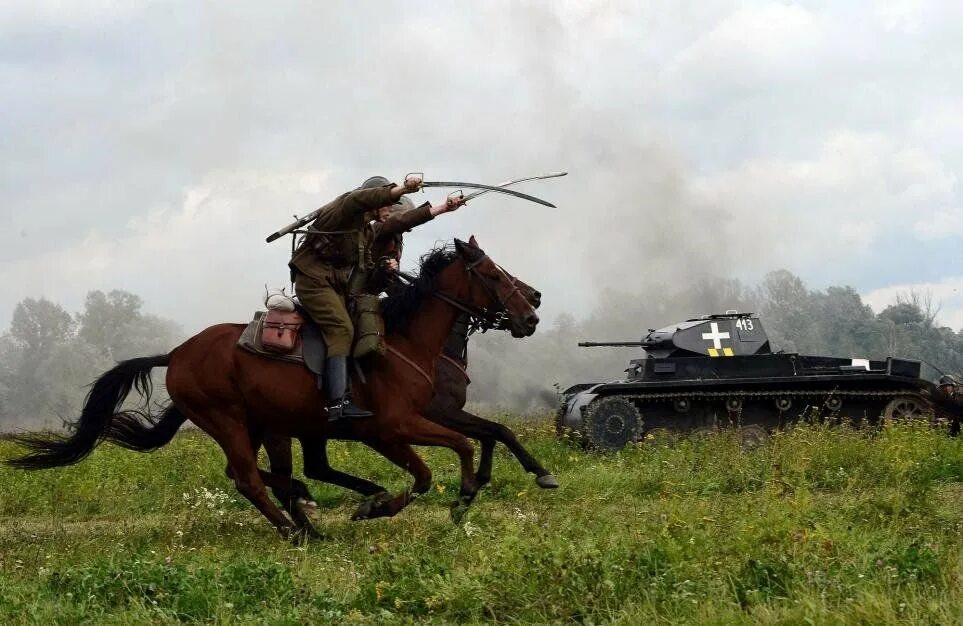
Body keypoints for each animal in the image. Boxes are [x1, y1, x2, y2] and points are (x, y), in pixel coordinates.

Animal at [7, 235, 540, 536]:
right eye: (492, 274)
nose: (532, 310)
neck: (405, 340)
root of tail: (176, 354)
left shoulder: (409, 423)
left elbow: (481, 438)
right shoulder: (393, 429)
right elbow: (443, 462)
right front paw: (453, 499)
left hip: (267, 424)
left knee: (266, 474)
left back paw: (308, 516)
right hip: (228, 420)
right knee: (246, 478)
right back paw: (292, 530)